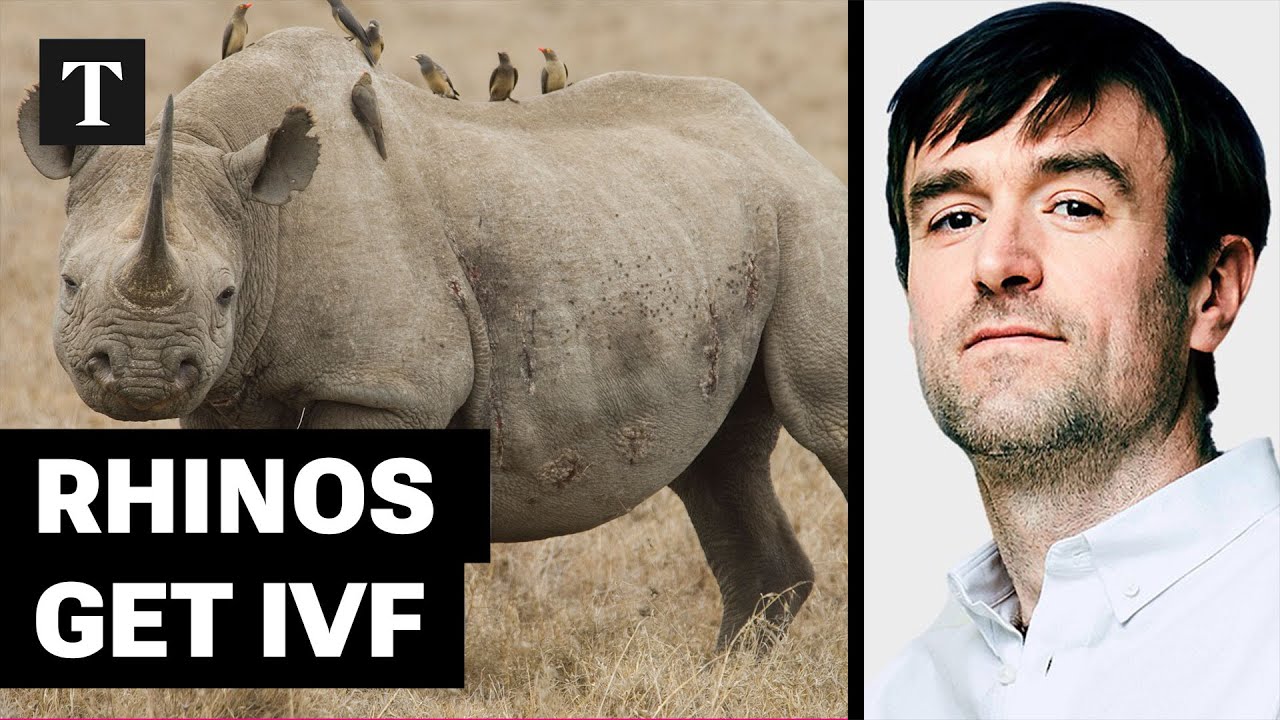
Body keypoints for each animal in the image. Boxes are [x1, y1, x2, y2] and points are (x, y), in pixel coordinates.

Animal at [18, 27, 848, 648]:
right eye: (68, 284)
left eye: (225, 294)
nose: (141, 375)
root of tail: (791, 146)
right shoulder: (231, 393)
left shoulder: (386, 389)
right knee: (718, 459)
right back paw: (726, 677)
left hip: (809, 216)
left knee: (824, 426)